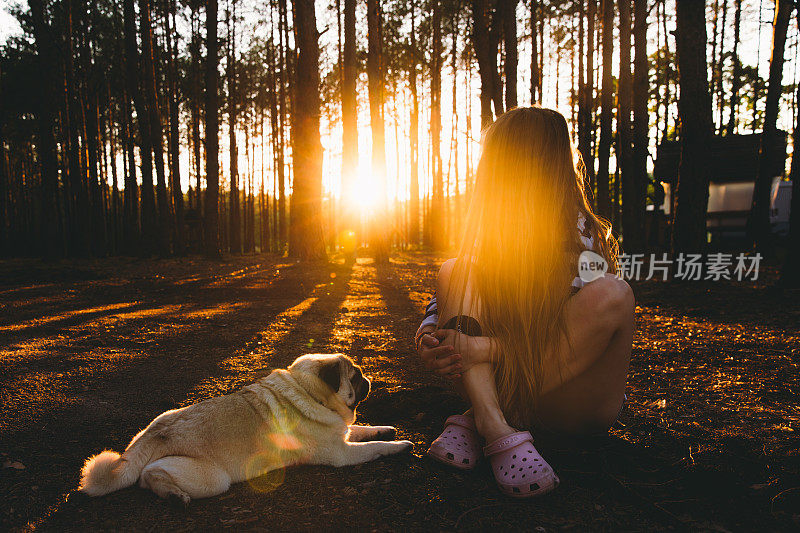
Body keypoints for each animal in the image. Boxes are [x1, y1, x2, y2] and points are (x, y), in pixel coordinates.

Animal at [78, 354, 412, 502]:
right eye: (355, 377)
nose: (368, 378)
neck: (307, 391)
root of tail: (153, 436)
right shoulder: (341, 454)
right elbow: (374, 448)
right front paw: (399, 445)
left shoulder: (341, 433)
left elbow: (367, 430)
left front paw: (386, 429)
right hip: (212, 478)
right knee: (148, 476)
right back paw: (172, 493)